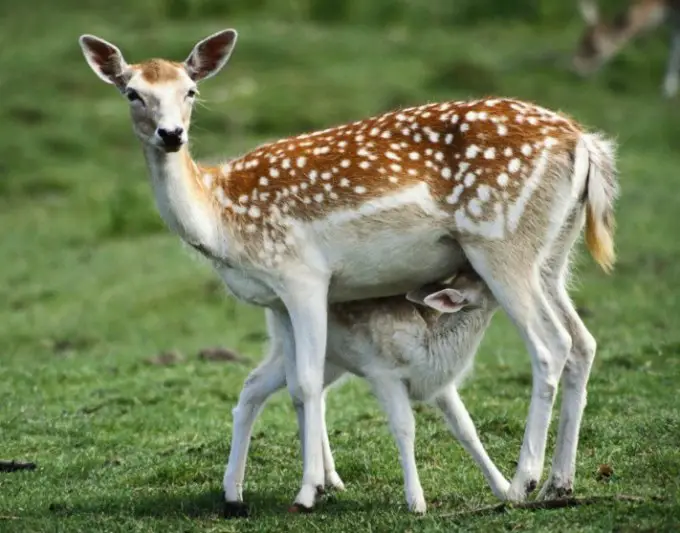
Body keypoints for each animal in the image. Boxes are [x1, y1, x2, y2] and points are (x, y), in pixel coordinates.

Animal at [77, 28, 620, 508]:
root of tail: (585, 143)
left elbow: (306, 382)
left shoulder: (301, 276)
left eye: (190, 90)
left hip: (499, 244)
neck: (221, 222)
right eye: (132, 92)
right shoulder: (276, 301)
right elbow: (299, 387)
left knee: (551, 347)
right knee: (584, 342)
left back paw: (524, 480)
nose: (171, 134)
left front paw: (306, 493)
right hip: (552, 254)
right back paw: (560, 484)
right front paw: (311, 484)